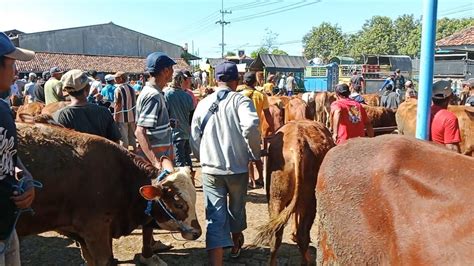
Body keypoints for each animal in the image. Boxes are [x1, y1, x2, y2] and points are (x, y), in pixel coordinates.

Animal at [256, 121, 334, 266]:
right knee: (302, 234)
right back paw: (307, 261)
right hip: (310, 201)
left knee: (277, 233)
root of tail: (298, 142)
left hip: (276, 197)